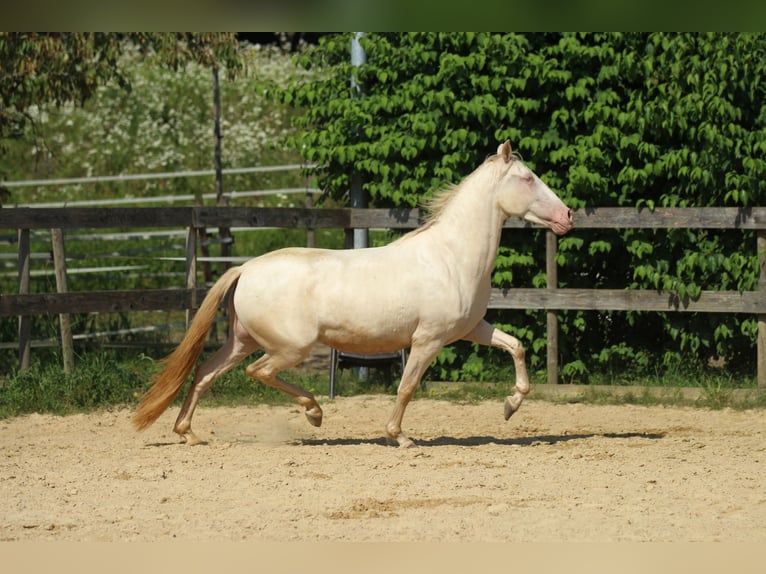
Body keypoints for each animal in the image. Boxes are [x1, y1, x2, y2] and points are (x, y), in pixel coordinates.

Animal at [135, 141, 572, 450]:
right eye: (528, 178)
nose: (567, 216)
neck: (451, 257)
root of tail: (245, 269)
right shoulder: (427, 340)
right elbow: (407, 387)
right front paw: (399, 437)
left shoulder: (470, 328)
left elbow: (515, 346)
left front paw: (510, 407)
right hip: (289, 348)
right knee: (257, 372)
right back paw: (314, 413)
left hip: (242, 341)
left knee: (205, 373)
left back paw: (188, 433)